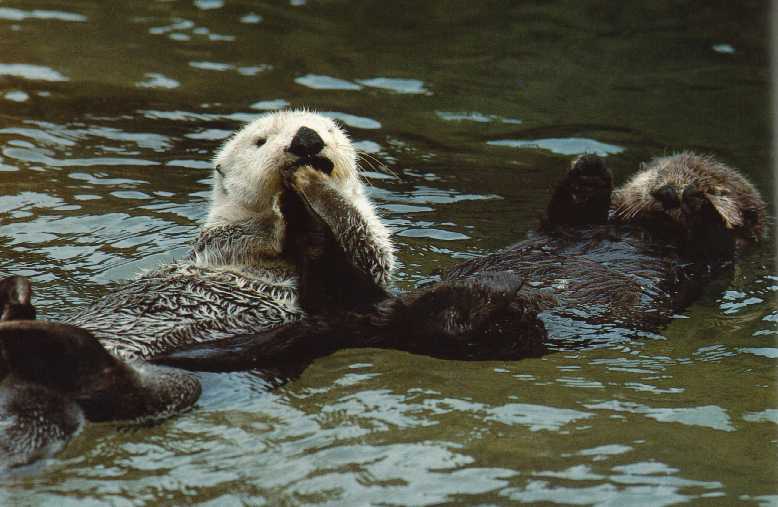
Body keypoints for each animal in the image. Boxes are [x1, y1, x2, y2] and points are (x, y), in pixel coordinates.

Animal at [62, 110, 394, 362]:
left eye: (329, 129)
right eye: (260, 141)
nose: (306, 137)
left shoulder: (370, 259)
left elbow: (361, 244)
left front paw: (309, 183)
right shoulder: (218, 237)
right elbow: (236, 233)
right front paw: (278, 215)